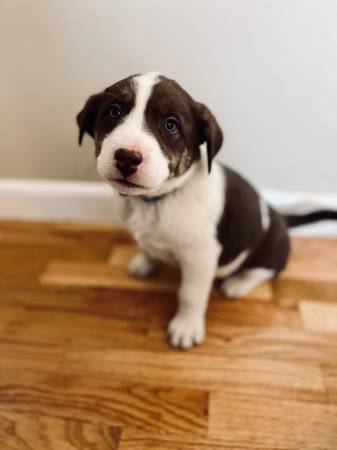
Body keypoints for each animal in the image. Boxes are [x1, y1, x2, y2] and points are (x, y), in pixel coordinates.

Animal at [77, 72, 336, 350]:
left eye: (171, 125)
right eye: (114, 112)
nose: (127, 157)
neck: (158, 200)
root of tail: (279, 217)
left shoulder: (200, 257)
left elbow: (191, 294)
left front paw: (186, 326)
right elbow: (146, 247)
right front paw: (144, 263)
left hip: (271, 246)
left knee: (266, 269)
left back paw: (238, 283)